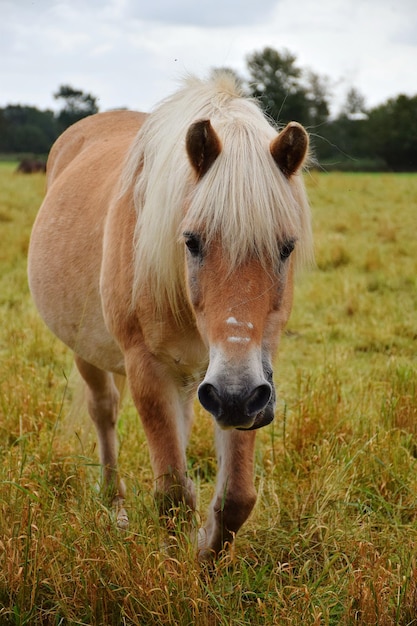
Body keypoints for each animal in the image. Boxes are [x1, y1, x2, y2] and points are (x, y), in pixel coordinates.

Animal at [26, 72, 312, 556]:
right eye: (191, 241)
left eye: (286, 247)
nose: (233, 394)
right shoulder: (148, 368)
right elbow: (174, 494)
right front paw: (178, 568)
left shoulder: (253, 376)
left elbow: (236, 497)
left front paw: (206, 557)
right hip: (88, 351)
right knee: (104, 412)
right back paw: (114, 506)